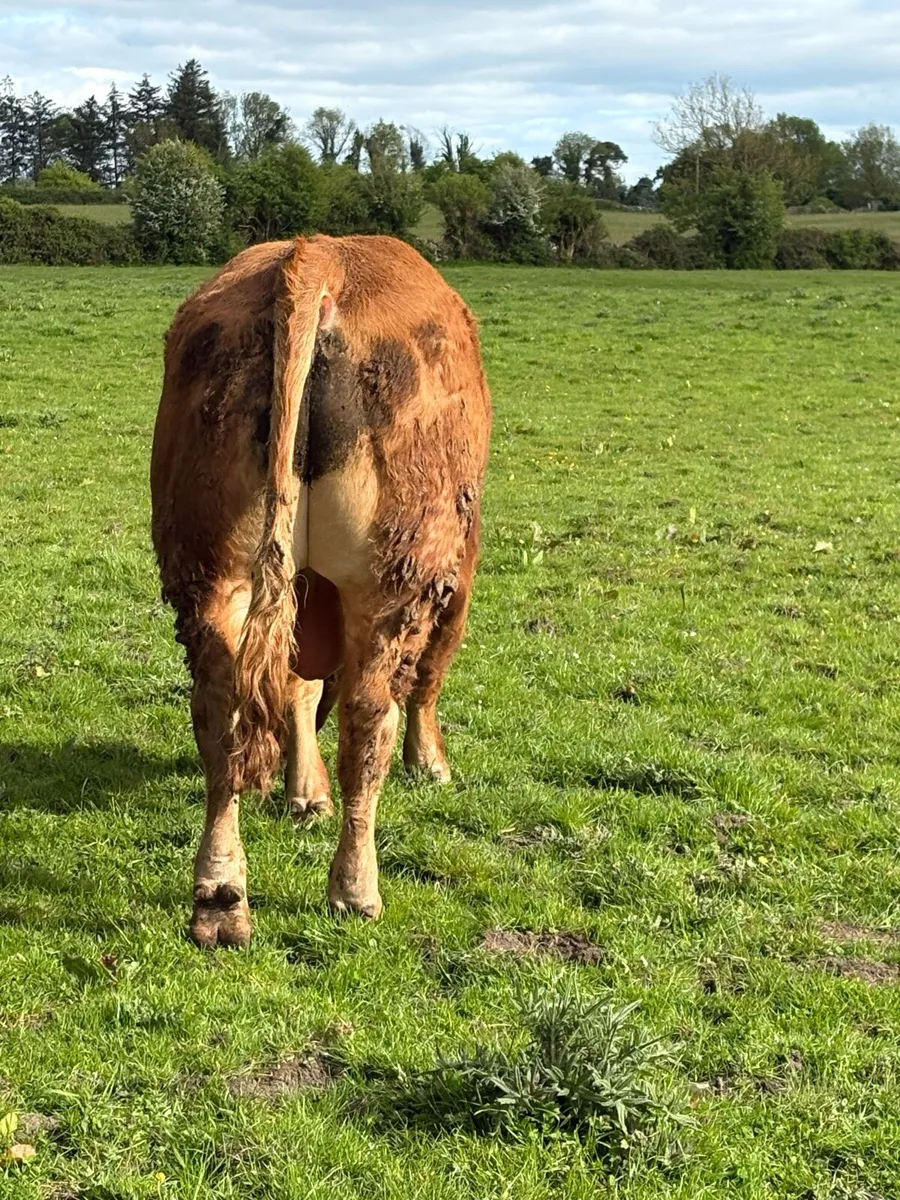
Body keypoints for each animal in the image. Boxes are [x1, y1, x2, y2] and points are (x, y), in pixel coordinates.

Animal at [150, 234, 492, 948]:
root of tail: (319, 258)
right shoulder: (460, 564)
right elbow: (428, 677)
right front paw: (431, 764)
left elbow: (295, 687)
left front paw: (303, 791)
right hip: (396, 575)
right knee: (369, 717)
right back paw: (356, 889)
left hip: (210, 571)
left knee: (221, 708)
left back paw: (220, 897)